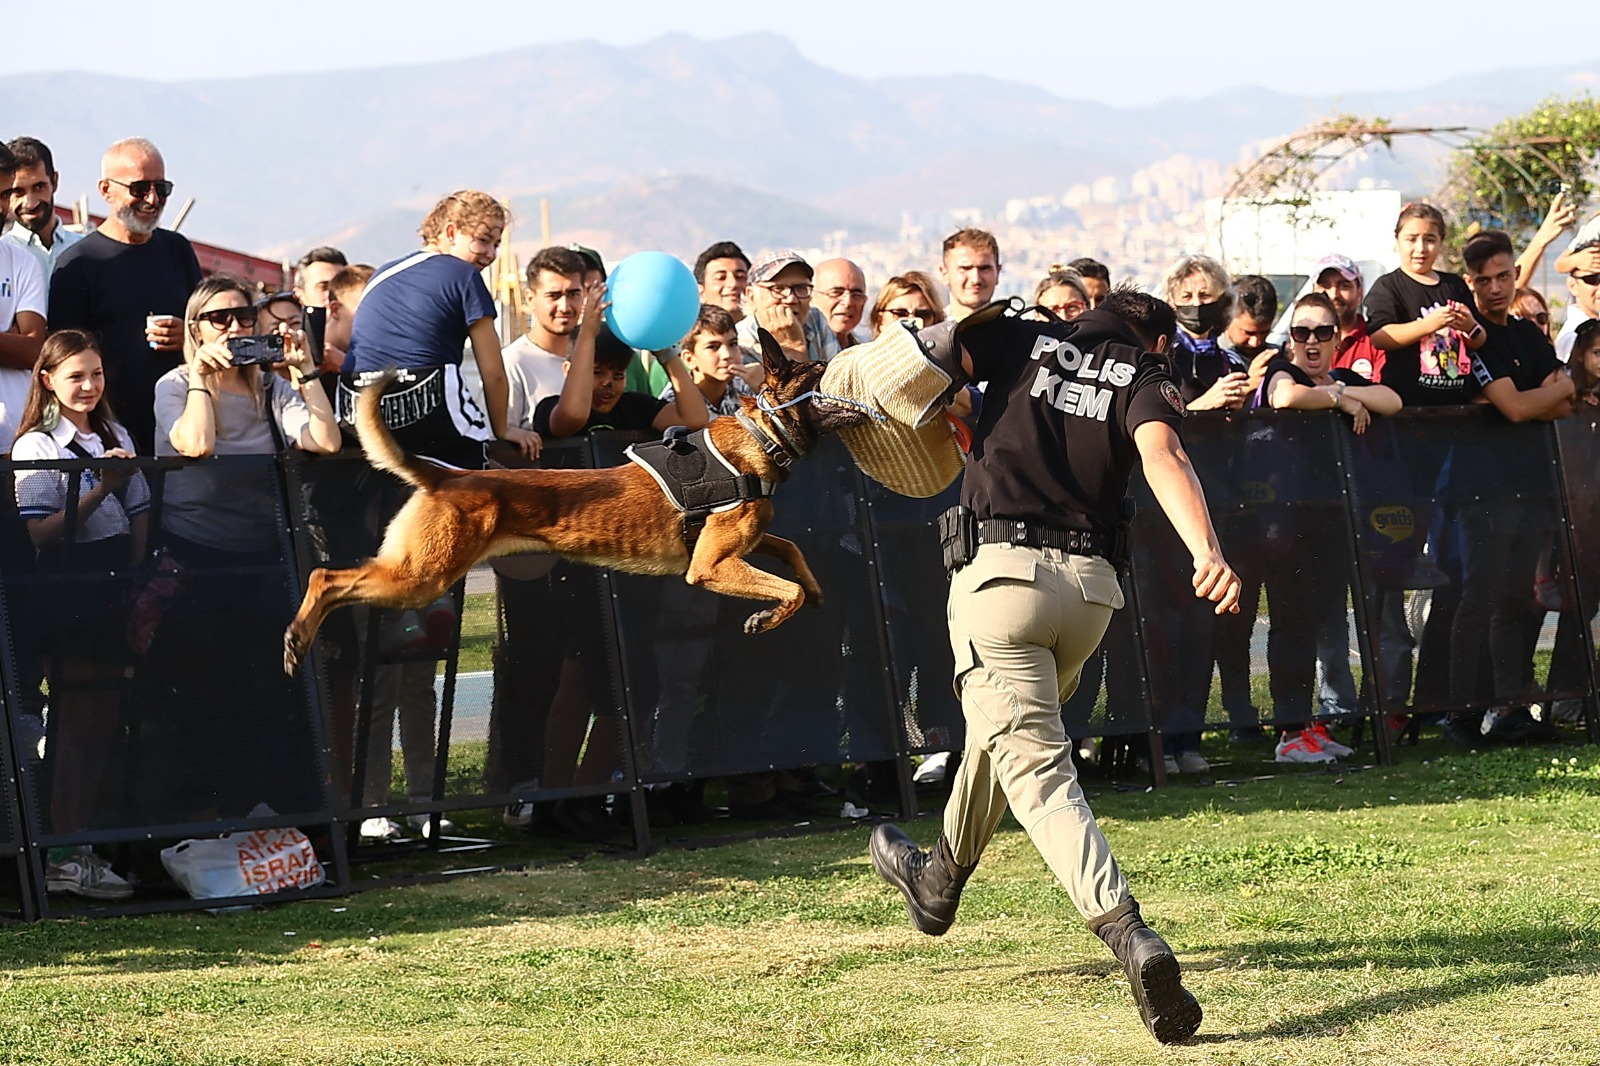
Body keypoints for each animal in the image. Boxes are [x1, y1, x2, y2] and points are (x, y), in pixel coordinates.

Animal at [278, 332, 876, 672]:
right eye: (821, 373)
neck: (761, 434)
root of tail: (448, 476)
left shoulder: (737, 546)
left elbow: (793, 552)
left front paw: (814, 591)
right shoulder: (709, 566)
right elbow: (786, 588)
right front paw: (768, 617)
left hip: (414, 571)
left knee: (332, 580)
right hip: (421, 577)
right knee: (324, 578)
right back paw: (297, 636)